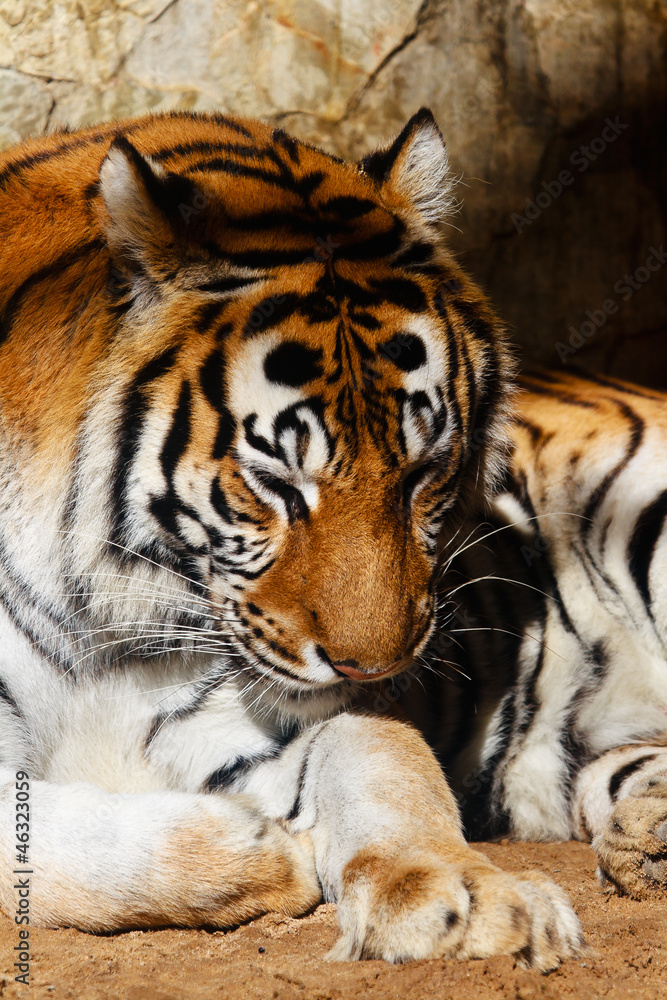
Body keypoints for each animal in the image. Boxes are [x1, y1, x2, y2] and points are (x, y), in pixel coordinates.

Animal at [0, 106, 665, 971]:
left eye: (423, 472)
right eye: (275, 483)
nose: (376, 667)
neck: (101, 619)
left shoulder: (278, 713)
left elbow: (382, 763)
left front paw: (465, 900)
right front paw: (259, 854)